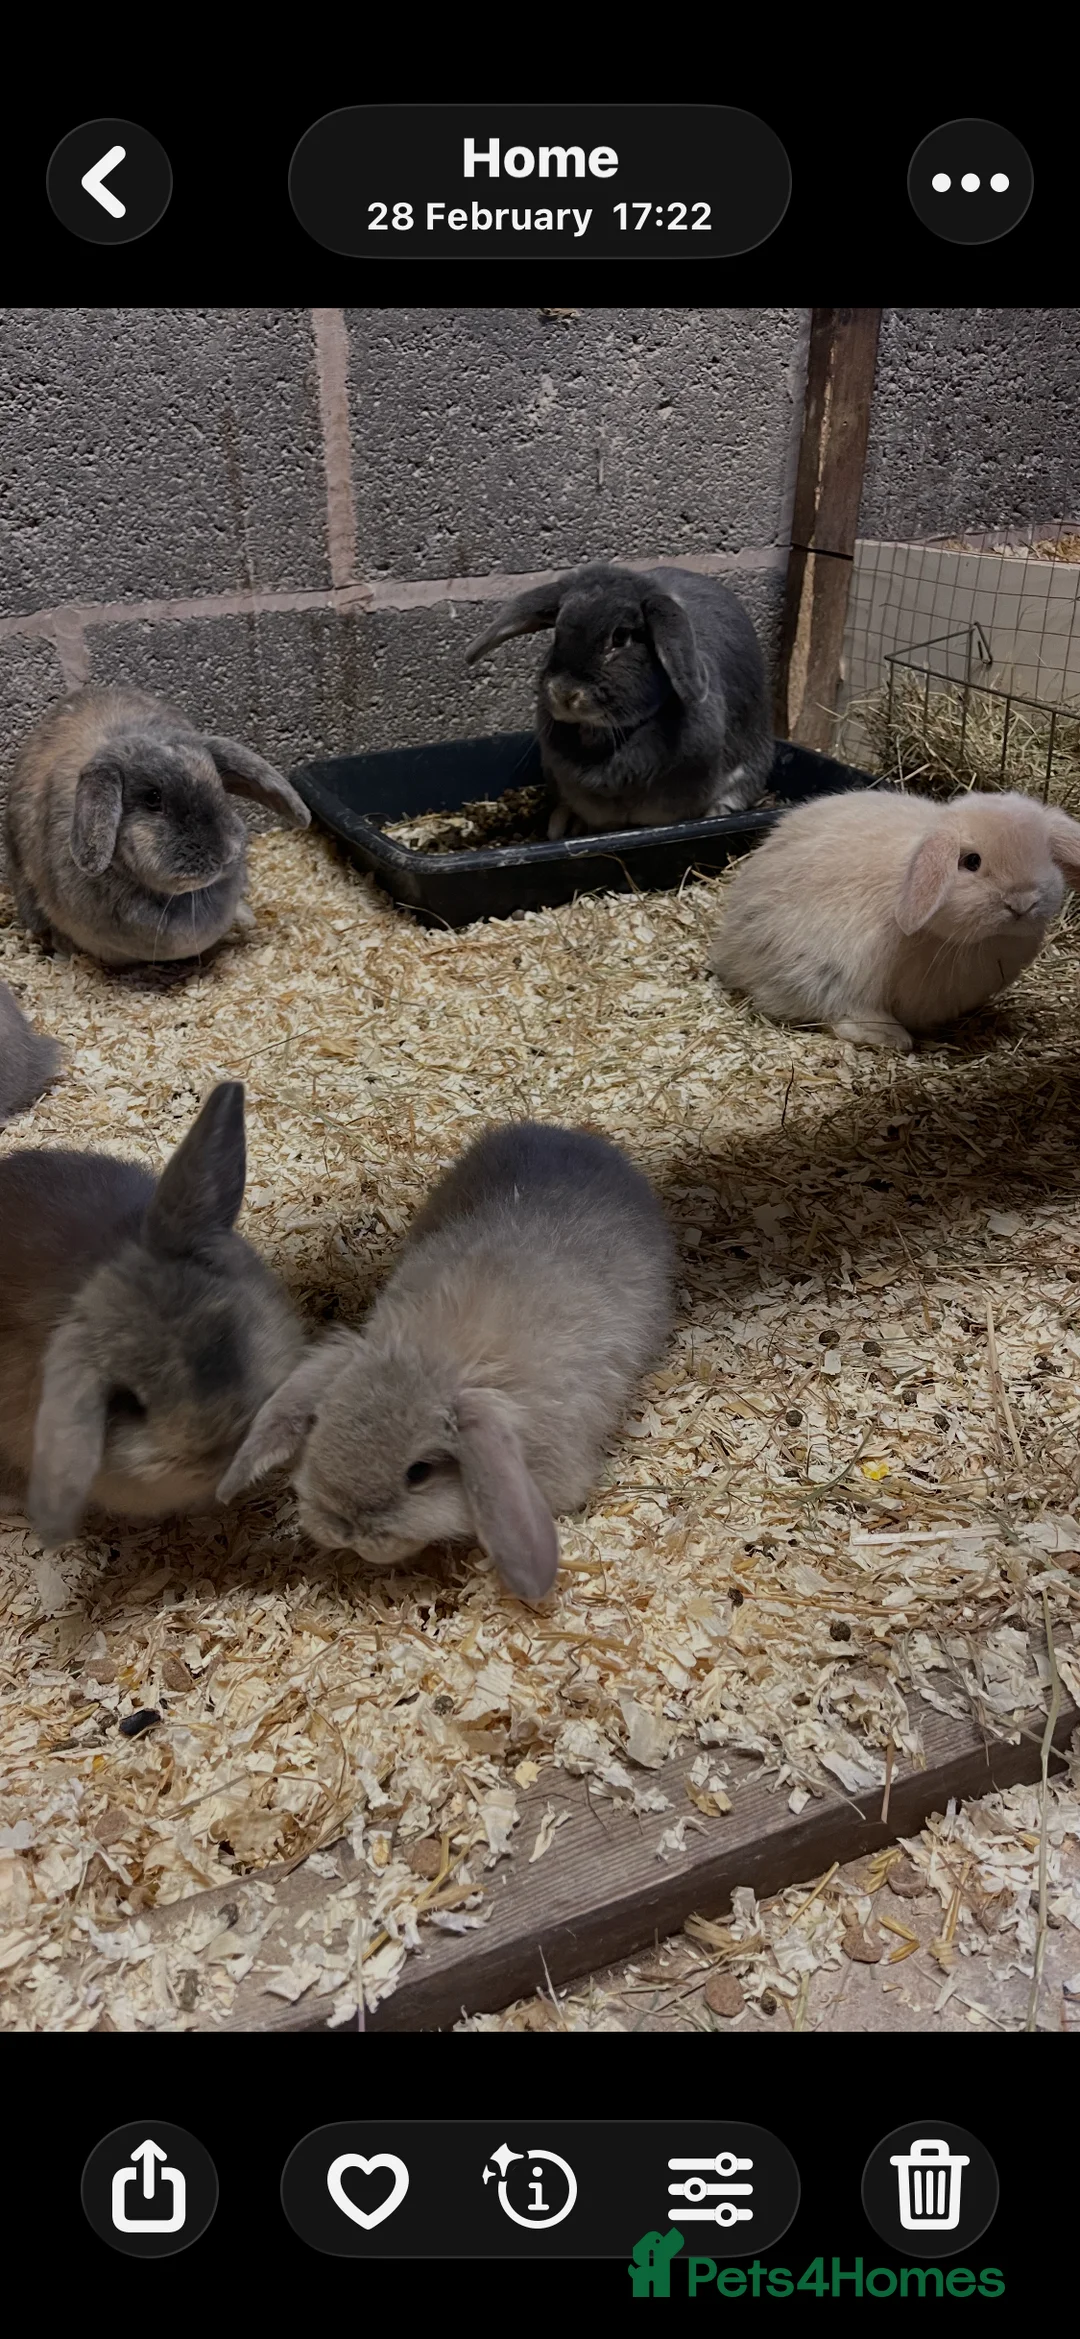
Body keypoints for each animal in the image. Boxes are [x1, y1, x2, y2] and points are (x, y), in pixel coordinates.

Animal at [709, 786, 1080, 1050]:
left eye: (1046, 856)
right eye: (971, 862)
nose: (1022, 902)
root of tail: (730, 948)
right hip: (813, 971)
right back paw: (891, 1037)